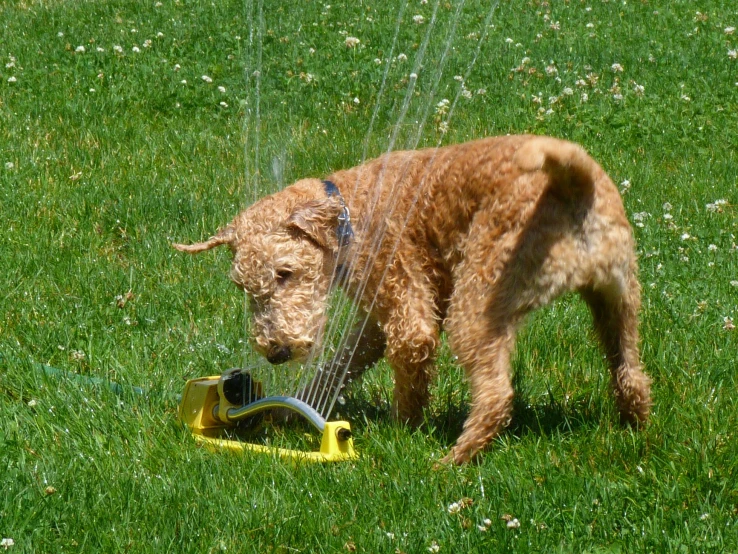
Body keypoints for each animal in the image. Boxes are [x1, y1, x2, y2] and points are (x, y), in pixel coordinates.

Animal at [174, 134, 648, 462]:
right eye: (245, 289)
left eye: (284, 273)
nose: (275, 351)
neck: (349, 210)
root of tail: (572, 182)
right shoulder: (374, 319)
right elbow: (341, 365)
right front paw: (293, 410)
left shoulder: (406, 308)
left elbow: (409, 367)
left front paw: (403, 432)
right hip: (618, 299)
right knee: (631, 374)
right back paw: (633, 427)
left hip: (477, 303)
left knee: (496, 396)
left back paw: (451, 460)